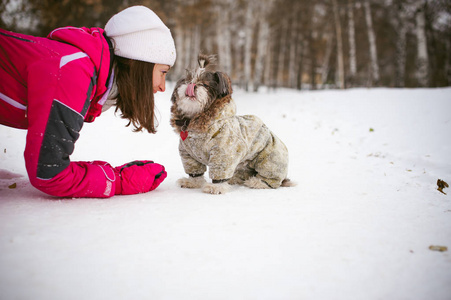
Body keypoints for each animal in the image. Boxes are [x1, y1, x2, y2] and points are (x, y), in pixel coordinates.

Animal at [170, 54, 294, 195]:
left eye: (205, 84)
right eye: (187, 81)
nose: (192, 86)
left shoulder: (223, 153)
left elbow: (220, 172)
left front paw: (216, 187)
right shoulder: (188, 155)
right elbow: (195, 171)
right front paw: (192, 182)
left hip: (269, 161)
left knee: (269, 179)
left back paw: (257, 182)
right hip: (244, 165)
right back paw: (236, 179)